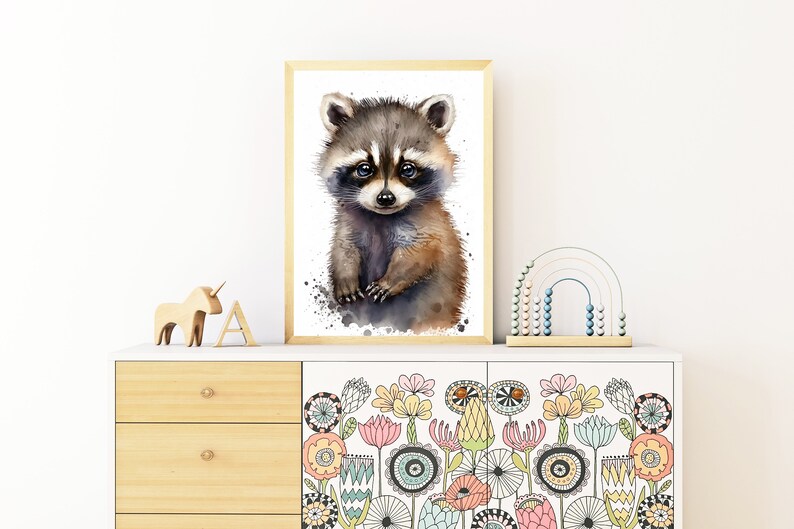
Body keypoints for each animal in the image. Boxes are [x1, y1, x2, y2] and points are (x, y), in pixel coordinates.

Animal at [318, 92, 467, 333]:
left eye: (408, 168)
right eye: (364, 169)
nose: (386, 198)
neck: (382, 217)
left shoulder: (429, 225)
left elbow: (422, 251)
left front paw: (392, 279)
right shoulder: (349, 224)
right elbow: (343, 248)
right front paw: (345, 276)